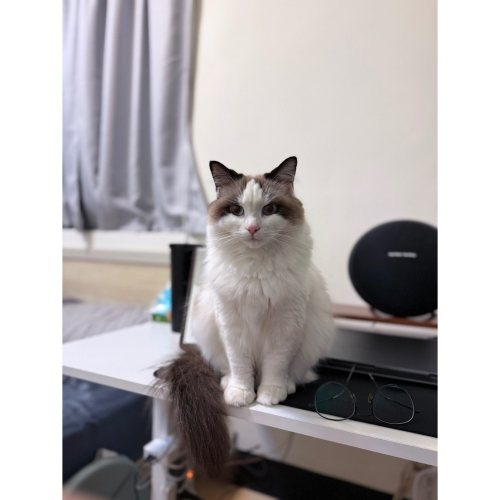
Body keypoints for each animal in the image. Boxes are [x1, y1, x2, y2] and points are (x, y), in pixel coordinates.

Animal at [155, 157, 335, 471]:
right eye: (237, 211)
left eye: (269, 210)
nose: (252, 229)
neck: (256, 268)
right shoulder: (231, 323)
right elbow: (239, 364)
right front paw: (241, 394)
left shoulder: (285, 324)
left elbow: (275, 364)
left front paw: (268, 394)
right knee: (226, 367)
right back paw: (229, 384)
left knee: (294, 373)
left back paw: (285, 386)